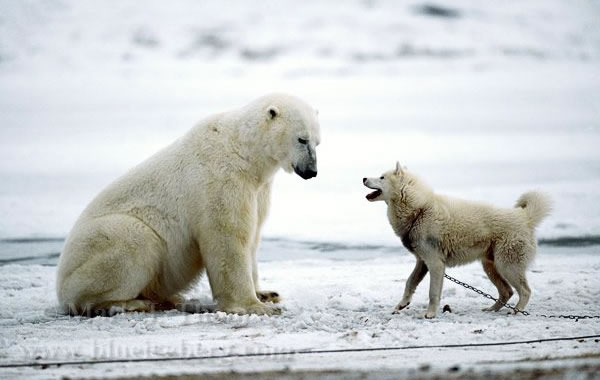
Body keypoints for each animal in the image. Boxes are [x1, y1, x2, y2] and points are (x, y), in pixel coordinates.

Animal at [55, 93, 324, 316]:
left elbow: (253, 237)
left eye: (318, 142)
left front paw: (267, 294)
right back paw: (132, 303)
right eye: (302, 139)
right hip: (99, 248)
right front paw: (254, 306)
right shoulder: (221, 180)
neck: (244, 152)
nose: (312, 172)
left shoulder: (258, 190)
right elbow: (228, 238)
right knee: (135, 240)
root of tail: (60, 285)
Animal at [364, 162, 552, 320]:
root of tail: (524, 217)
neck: (419, 210)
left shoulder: (435, 264)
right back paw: (491, 310)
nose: (363, 178)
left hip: (507, 266)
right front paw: (402, 304)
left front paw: (430, 314)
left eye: (382, 177)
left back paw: (516, 311)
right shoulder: (422, 262)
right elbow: (410, 282)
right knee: (507, 291)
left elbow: (433, 293)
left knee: (525, 291)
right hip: (491, 266)